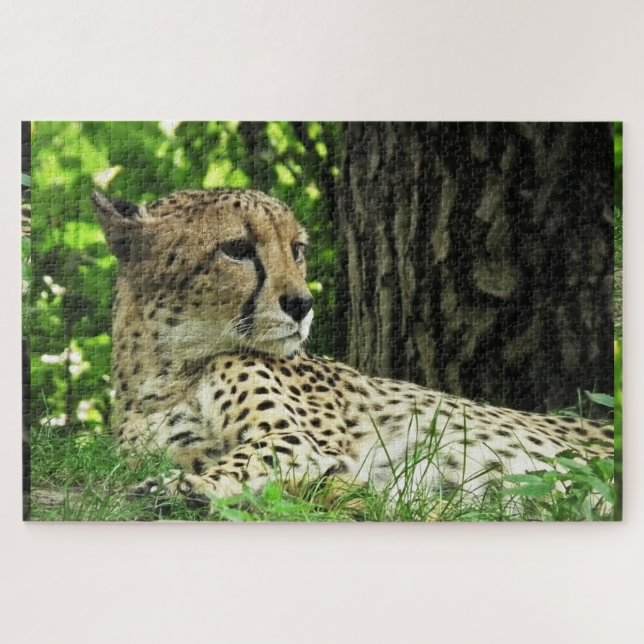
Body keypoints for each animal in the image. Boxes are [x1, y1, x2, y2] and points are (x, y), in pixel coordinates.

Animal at [93, 189, 614, 509]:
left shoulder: (295, 442)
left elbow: (241, 461)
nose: (302, 304)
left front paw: (185, 487)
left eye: (298, 249)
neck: (167, 369)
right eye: (237, 249)